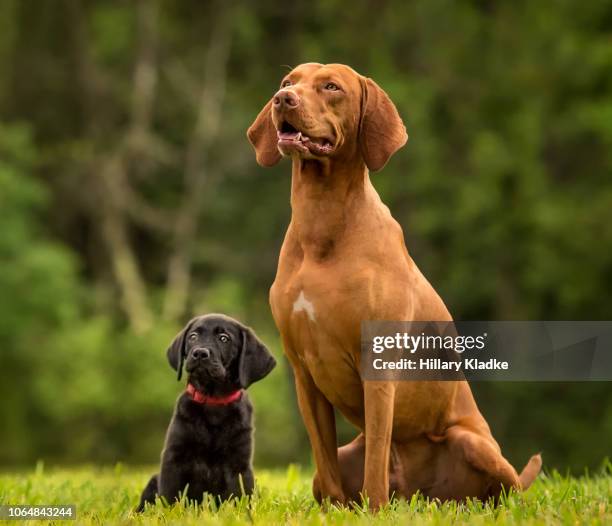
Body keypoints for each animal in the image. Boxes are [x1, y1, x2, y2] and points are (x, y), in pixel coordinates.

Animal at [137, 314, 276, 512]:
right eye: (193, 336)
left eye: (224, 338)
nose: (200, 353)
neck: (213, 402)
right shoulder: (174, 457)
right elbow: (169, 497)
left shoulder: (239, 464)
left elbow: (238, 498)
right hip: (153, 480)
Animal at [245, 63, 540, 512]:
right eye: (287, 83)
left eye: (331, 86)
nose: (283, 100)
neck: (321, 225)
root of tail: (421, 494)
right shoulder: (303, 371)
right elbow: (324, 460)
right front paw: (334, 514)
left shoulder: (378, 364)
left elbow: (377, 457)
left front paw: (374, 511)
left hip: (474, 444)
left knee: (509, 491)